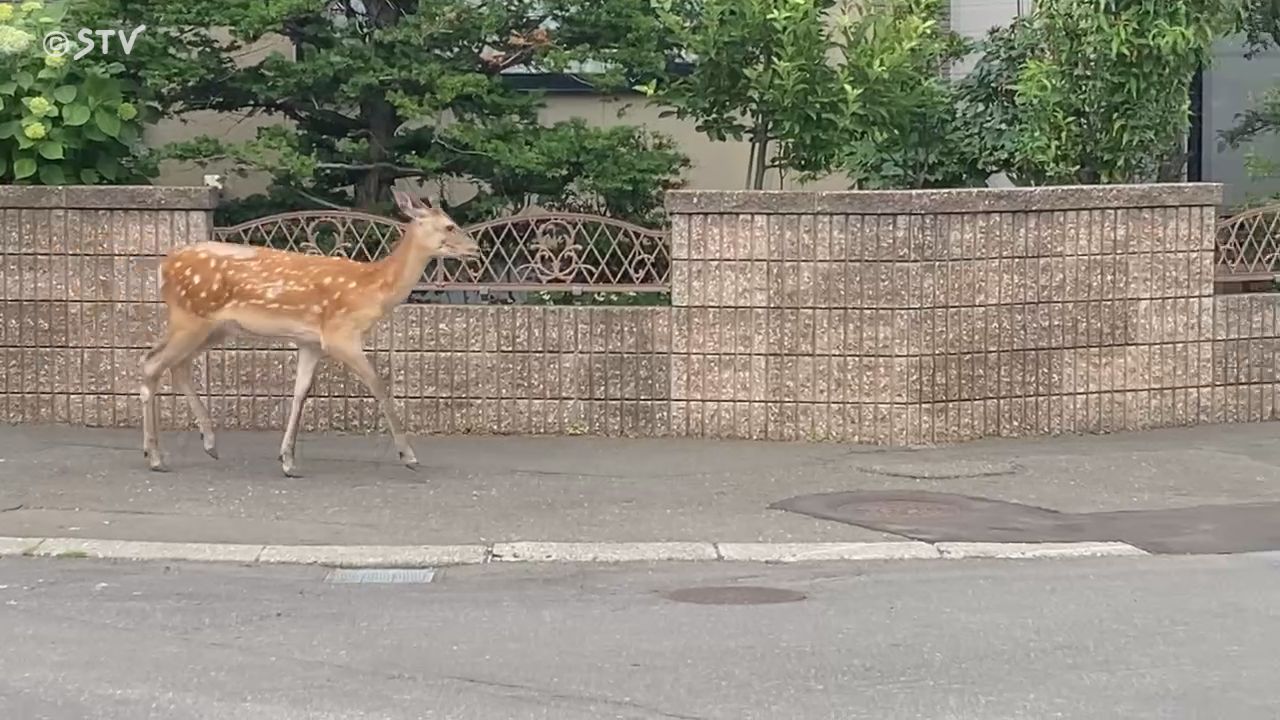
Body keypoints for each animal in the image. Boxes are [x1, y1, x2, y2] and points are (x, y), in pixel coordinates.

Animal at [138, 188, 481, 474]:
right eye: (449, 226)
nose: (476, 249)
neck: (373, 288)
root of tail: (164, 267)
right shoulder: (341, 334)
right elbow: (378, 385)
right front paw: (408, 455)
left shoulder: (310, 342)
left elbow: (301, 391)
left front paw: (287, 459)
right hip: (191, 316)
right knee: (153, 363)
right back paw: (155, 456)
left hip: (215, 327)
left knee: (173, 364)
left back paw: (208, 443)